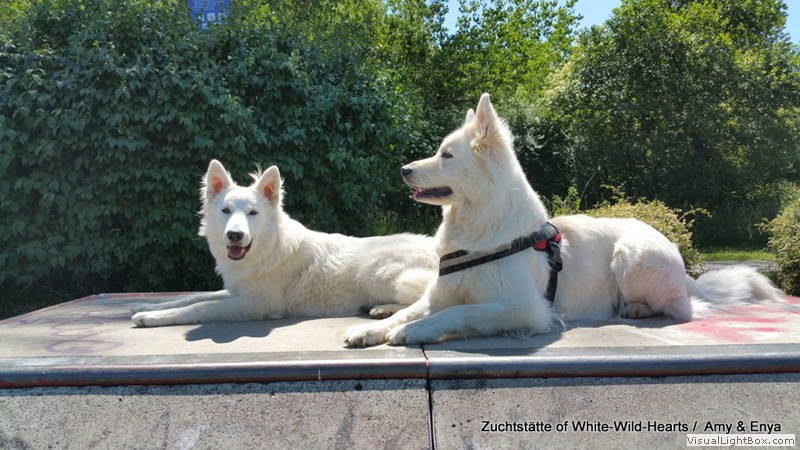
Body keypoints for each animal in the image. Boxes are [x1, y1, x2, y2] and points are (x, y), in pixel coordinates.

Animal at [132, 160, 438, 327]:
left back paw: (385, 308)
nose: (235, 236)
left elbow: (201, 308)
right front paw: (147, 307)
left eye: (253, 213)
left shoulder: (258, 303)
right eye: (226, 211)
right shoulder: (236, 291)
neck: (265, 251)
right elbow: (194, 296)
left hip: (377, 274)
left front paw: (155, 318)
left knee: (426, 298)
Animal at [343, 93, 783, 346]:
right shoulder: (439, 293)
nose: (403, 169)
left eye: (446, 155)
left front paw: (413, 332)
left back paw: (639, 310)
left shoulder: (525, 309)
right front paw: (374, 328)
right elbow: (411, 309)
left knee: (682, 310)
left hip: (632, 256)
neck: (480, 229)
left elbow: (460, 313)